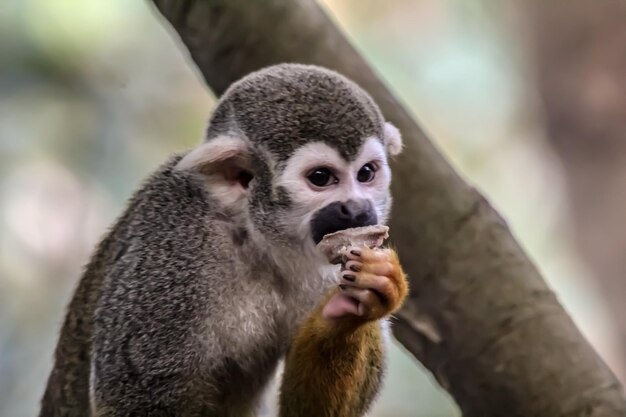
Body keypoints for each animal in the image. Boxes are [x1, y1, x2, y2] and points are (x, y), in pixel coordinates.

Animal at [40, 63, 410, 414]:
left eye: (366, 173)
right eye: (321, 177)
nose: (357, 209)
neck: (256, 239)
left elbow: (308, 410)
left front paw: (351, 310)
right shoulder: (174, 247)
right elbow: (135, 394)